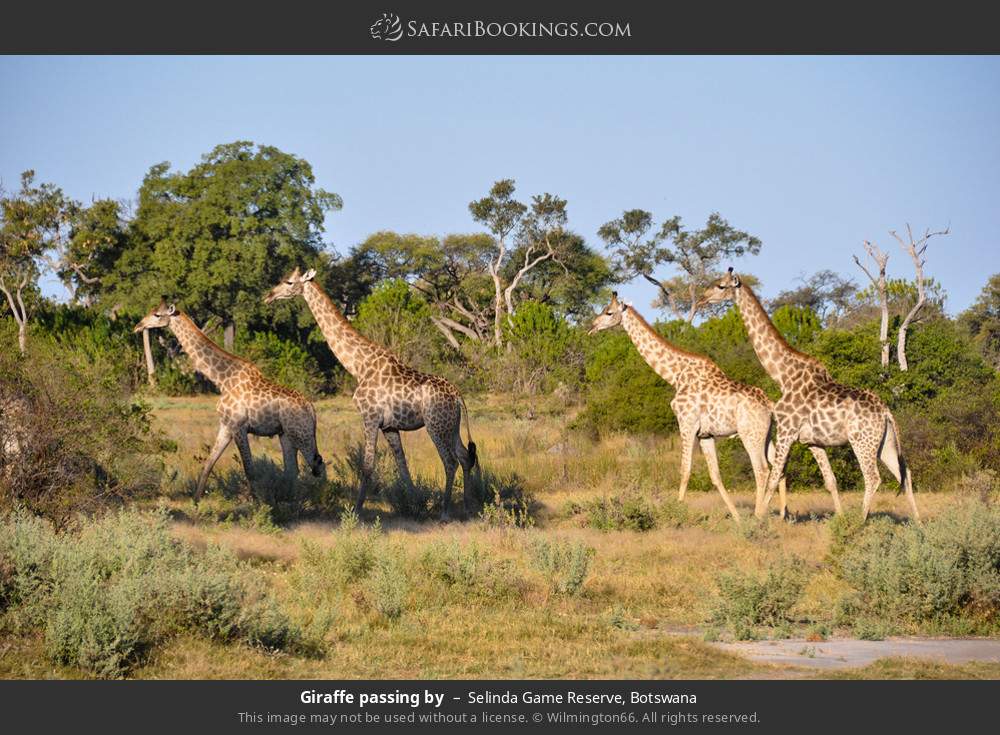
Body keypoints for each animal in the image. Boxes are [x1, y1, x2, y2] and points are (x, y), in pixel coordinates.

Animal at [134, 299, 325, 500]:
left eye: (157, 315)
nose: (138, 326)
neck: (222, 379)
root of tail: (311, 409)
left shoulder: (239, 426)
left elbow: (249, 470)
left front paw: (257, 502)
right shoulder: (226, 426)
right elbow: (209, 463)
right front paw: (196, 500)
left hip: (301, 433)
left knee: (318, 466)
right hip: (286, 434)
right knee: (294, 470)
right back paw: (291, 498)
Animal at [263, 268, 477, 518]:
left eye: (289, 282)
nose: (269, 296)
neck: (358, 365)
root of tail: (457, 396)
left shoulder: (370, 417)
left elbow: (367, 465)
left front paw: (356, 511)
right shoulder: (390, 426)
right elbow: (402, 465)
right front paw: (414, 503)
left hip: (435, 425)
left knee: (450, 461)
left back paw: (445, 512)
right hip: (452, 426)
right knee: (465, 457)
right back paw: (467, 507)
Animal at [588, 292, 788, 522]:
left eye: (608, 312)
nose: (592, 326)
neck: (676, 375)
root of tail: (770, 406)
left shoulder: (686, 423)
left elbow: (685, 469)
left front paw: (674, 513)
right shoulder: (705, 434)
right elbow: (715, 475)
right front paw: (737, 517)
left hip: (750, 434)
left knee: (762, 470)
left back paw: (758, 515)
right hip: (768, 434)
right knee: (779, 467)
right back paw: (782, 515)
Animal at [697, 269, 919, 522]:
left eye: (721, 286)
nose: (701, 299)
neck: (783, 375)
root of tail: (886, 412)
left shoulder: (786, 431)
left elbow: (774, 477)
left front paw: (759, 519)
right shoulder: (812, 441)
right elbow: (830, 481)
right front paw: (839, 518)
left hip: (861, 441)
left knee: (873, 477)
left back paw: (860, 524)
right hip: (885, 443)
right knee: (905, 474)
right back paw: (918, 522)